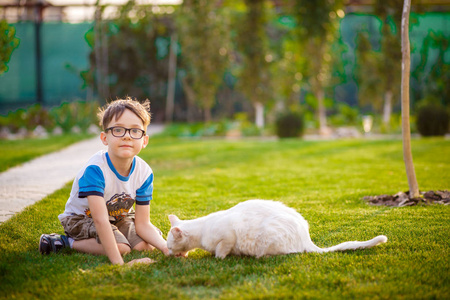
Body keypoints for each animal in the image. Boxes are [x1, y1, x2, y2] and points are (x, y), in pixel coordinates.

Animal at [167, 199, 388, 258]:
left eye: (169, 246)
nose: (168, 253)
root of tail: (306, 238)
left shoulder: (227, 236)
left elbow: (221, 250)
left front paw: (218, 258)